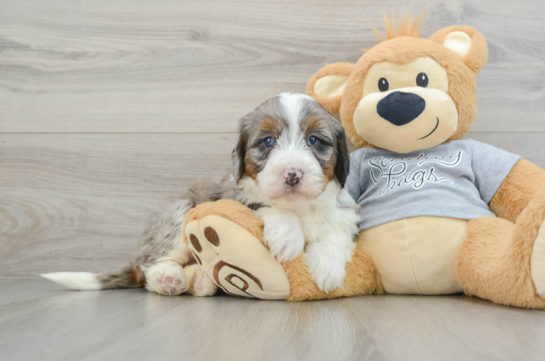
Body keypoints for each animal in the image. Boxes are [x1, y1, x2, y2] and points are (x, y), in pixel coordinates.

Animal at [41, 93, 356, 296]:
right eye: (268, 141)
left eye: (314, 140)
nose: (292, 174)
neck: (299, 206)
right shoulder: (234, 196)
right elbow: (266, 205)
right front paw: (288, 236)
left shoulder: (342, 210)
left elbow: (335, 230)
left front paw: (327, 268)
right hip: (179, 214)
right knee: (148, 269)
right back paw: (168, 278)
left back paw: (204, 282)